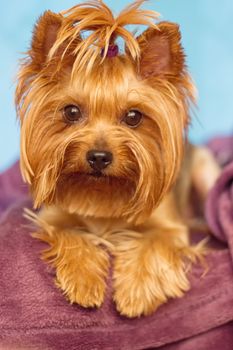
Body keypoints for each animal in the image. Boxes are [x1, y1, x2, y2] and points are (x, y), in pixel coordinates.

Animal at [15, 0, 220, 318]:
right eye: (71, 112)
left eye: (133, 116)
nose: (99, 157)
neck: (105, 189)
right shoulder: (52, 218)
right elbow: (70, 235)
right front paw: (84, 281)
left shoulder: (170, 228)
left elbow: (154, 243)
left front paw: (136, 293)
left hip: (205, 173)